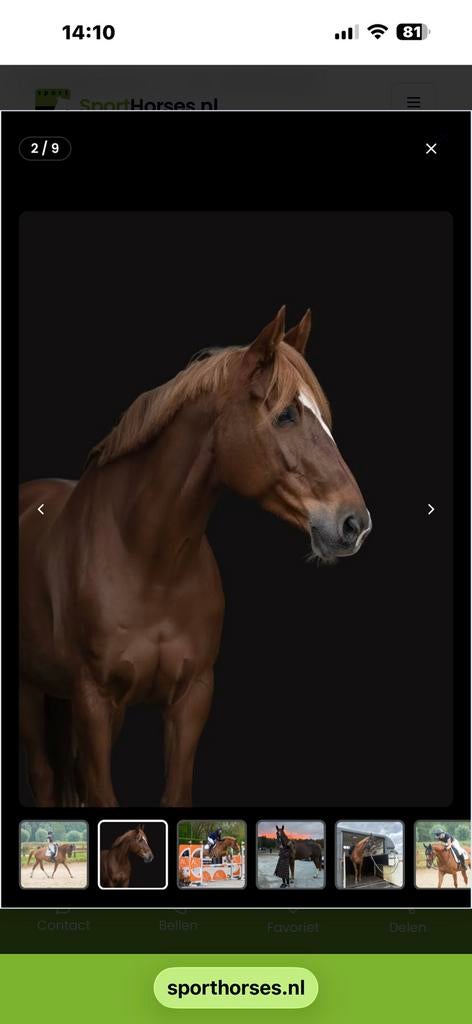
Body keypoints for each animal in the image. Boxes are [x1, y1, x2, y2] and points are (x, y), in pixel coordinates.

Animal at [19, 306, 371, 808]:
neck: (148, 564)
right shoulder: (93, 700)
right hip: (30, 691)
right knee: (44, 776)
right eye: (285, 414)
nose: (354, 523)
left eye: (323, 418)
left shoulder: (190, 700)